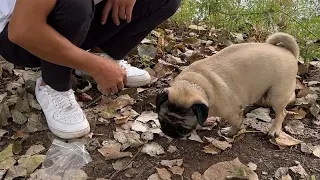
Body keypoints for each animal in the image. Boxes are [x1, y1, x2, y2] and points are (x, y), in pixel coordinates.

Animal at [156, 32, 298, 139]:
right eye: (161, 121)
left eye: (183, 129)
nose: (168, 132)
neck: (195, 84)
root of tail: (289, 53)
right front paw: (207, 121)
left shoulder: (233, 114)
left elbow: (237, 124)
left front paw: (230, 133)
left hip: (276, 95)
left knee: (282, 113)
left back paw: (275, 129)